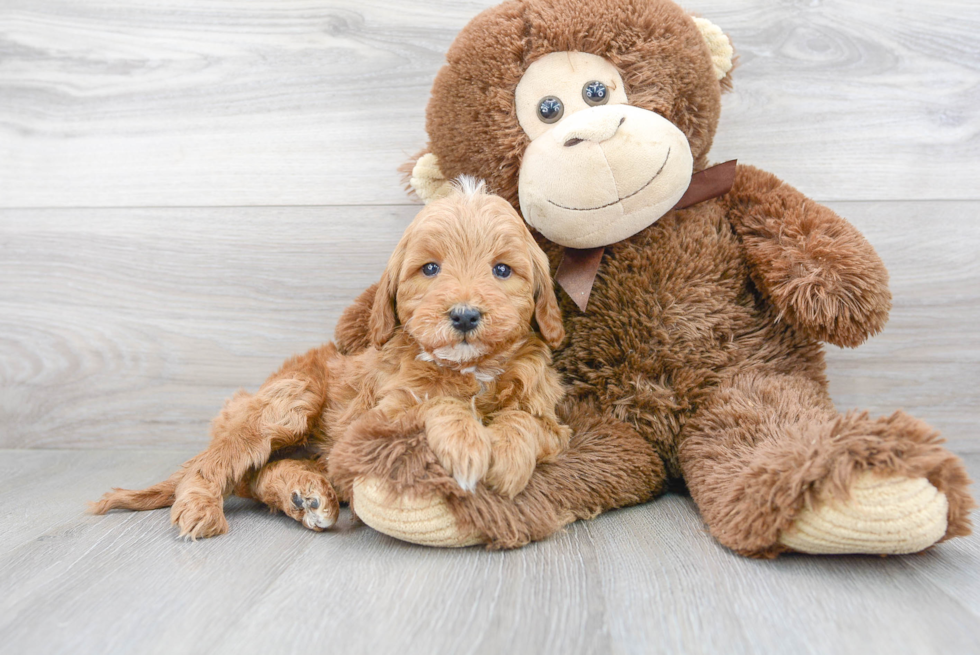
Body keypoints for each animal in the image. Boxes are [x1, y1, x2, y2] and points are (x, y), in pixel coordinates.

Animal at [94, 178, 568, 540]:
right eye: (430, 269)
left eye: (502, 270)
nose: (465, 315)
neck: (469, 368)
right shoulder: (372, 424)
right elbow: (434, 403)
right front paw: (465, 441)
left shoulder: (553, 422)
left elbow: (527, 422)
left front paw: (508, 453)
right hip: (289, 399)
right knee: (220, 466)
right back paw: (204, 506)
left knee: (255, 475)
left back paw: (305, 493)